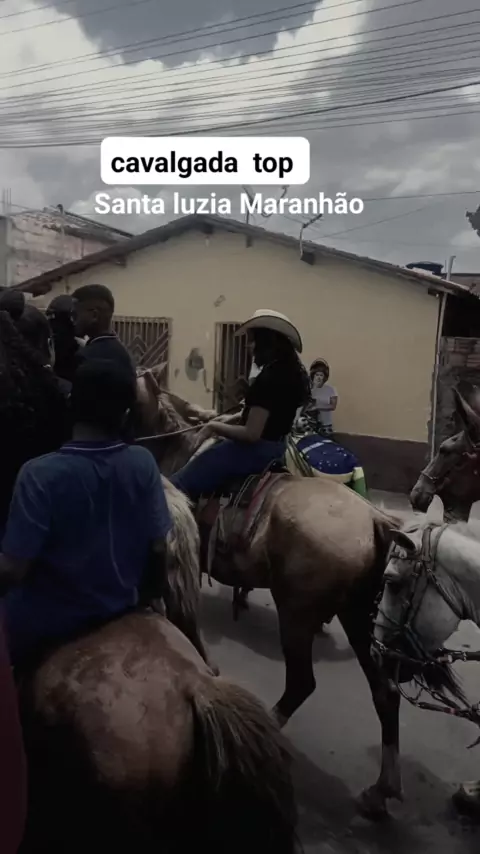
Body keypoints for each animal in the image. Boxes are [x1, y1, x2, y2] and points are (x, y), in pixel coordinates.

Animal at [133, 376, 404, 819]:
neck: (178, 445)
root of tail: (373, 519)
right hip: (358, 618)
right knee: (385, 693)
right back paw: (380, 791)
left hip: (297, 613)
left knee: (301, 683)